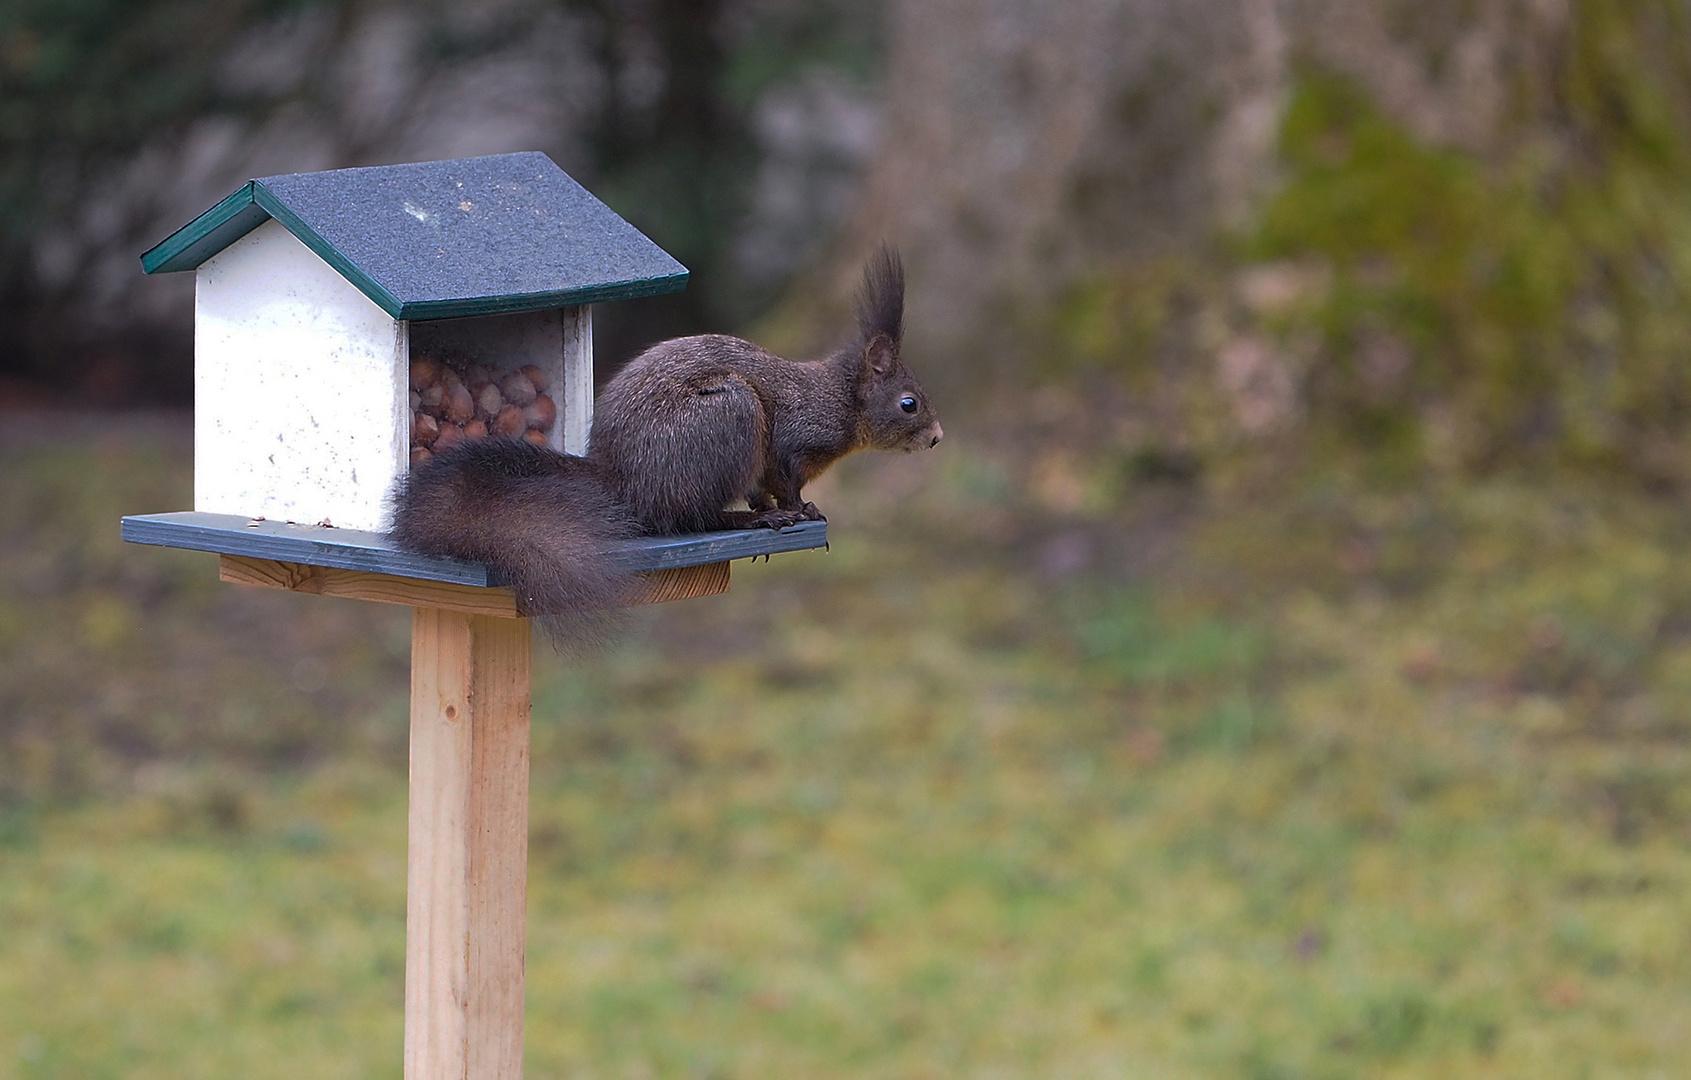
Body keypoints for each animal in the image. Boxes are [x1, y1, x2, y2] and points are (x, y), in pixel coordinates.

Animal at [394, 245, 946, 635]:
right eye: (909, 404)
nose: (938, 438)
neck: (839, 401)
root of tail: (620, 476)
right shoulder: (794, 438)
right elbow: (786, 481)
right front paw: (797, 509)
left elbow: (762, 486)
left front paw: (777, 506)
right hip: (728, 416)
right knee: (689, 518)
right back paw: (749, 520)